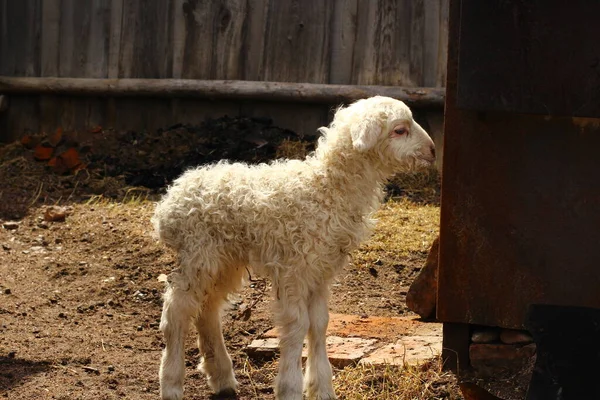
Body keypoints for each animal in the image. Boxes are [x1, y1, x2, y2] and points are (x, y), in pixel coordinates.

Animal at [151, 95, 436, 398]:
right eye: (399, 130)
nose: (432, 150)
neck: (327, 188)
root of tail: (170, 200)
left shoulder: (321, 270)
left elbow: (320, 323)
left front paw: (322, 389)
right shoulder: (294, 269)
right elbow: (298, 325)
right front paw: (290, 387)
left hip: (225, 259)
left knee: (207, 310)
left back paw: (222, 377)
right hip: (198, 252)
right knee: (176, 311)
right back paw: (171, 384)